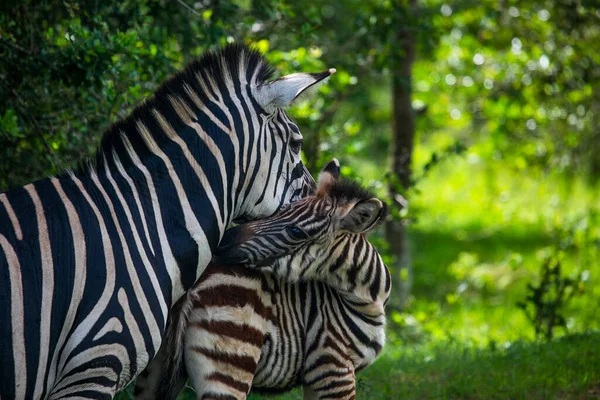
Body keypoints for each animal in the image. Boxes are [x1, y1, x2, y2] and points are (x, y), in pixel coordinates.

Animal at [134, 160, 392, 400]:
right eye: (280, 210)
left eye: (296, 232)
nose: (222, 242)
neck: (367, 296)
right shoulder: (333, 364)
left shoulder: (320, 375)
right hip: (231, 359)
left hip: (157, 365)